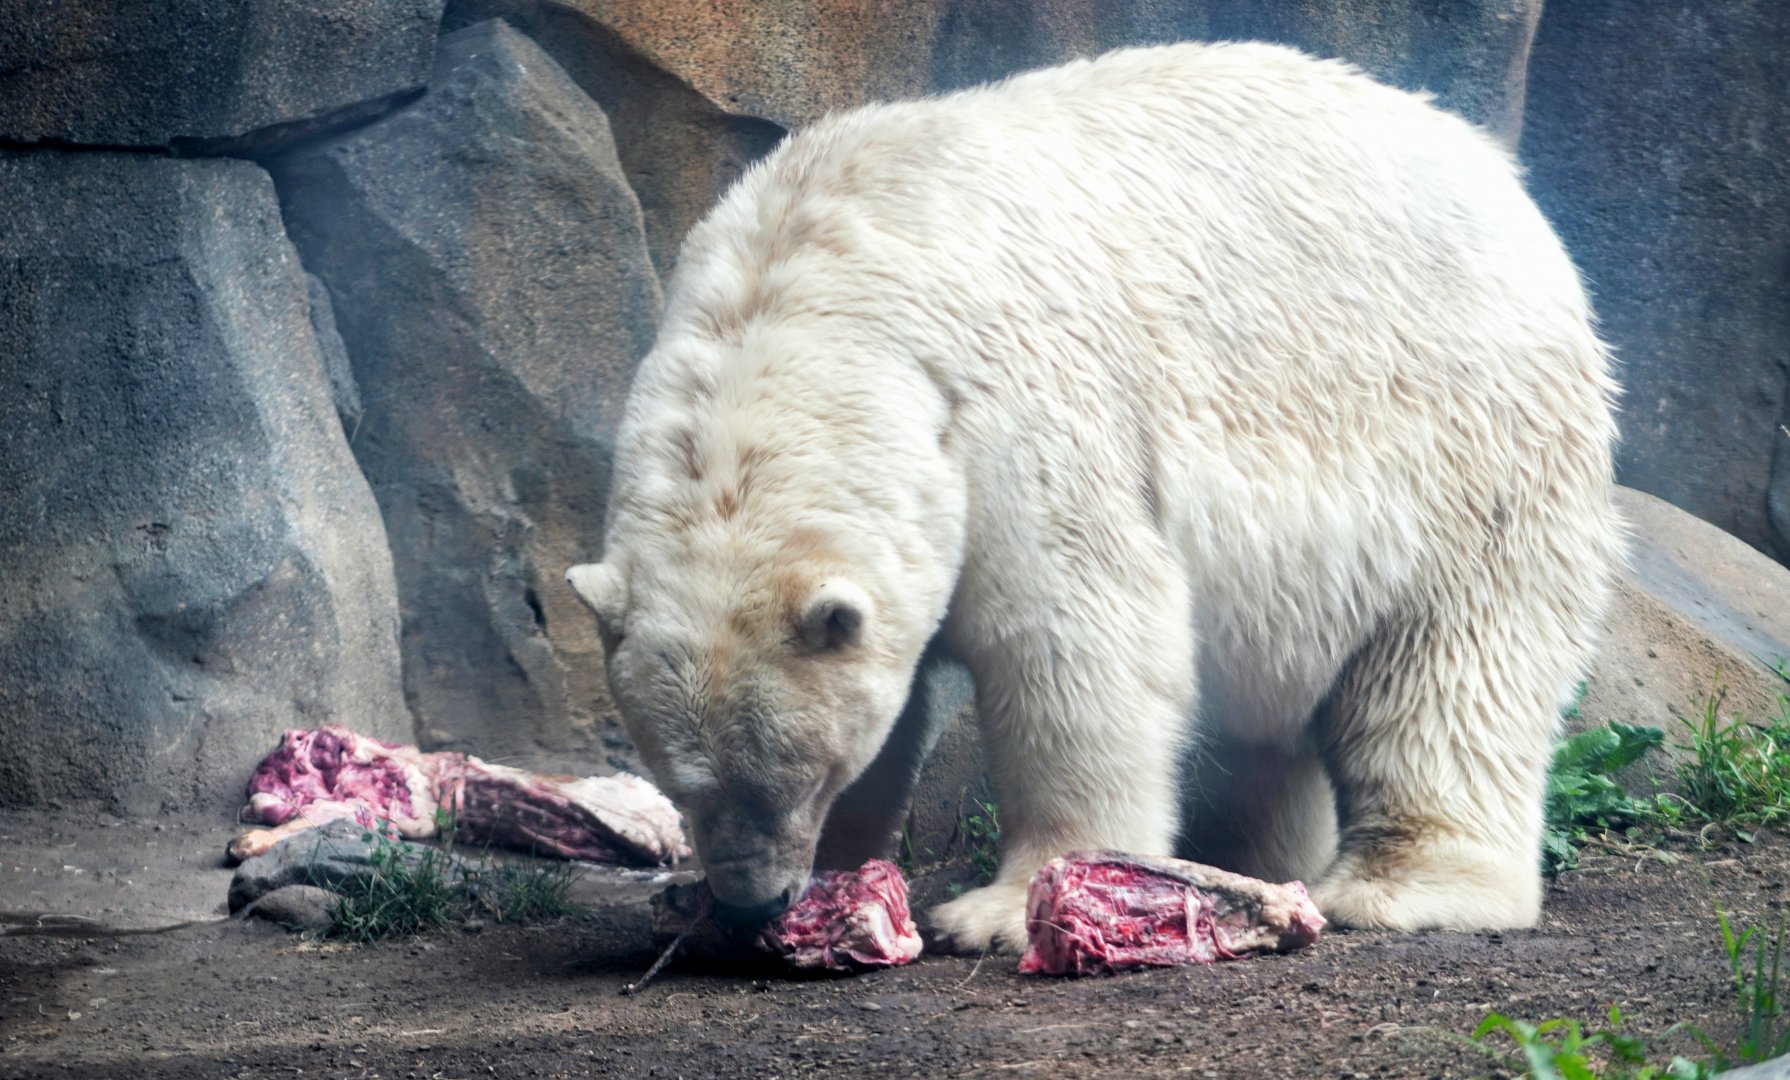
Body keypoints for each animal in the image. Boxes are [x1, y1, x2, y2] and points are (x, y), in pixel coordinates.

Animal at [566, 40, 1621, 954]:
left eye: (797, 775)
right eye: (684, 786)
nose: (755, 900)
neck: (812, 275)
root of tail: (1502, 178)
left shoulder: (1018, 406)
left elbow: (1072, 632)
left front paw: (1001, 907)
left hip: (1468, 434)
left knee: (1454, 660)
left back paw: (1401, 887)